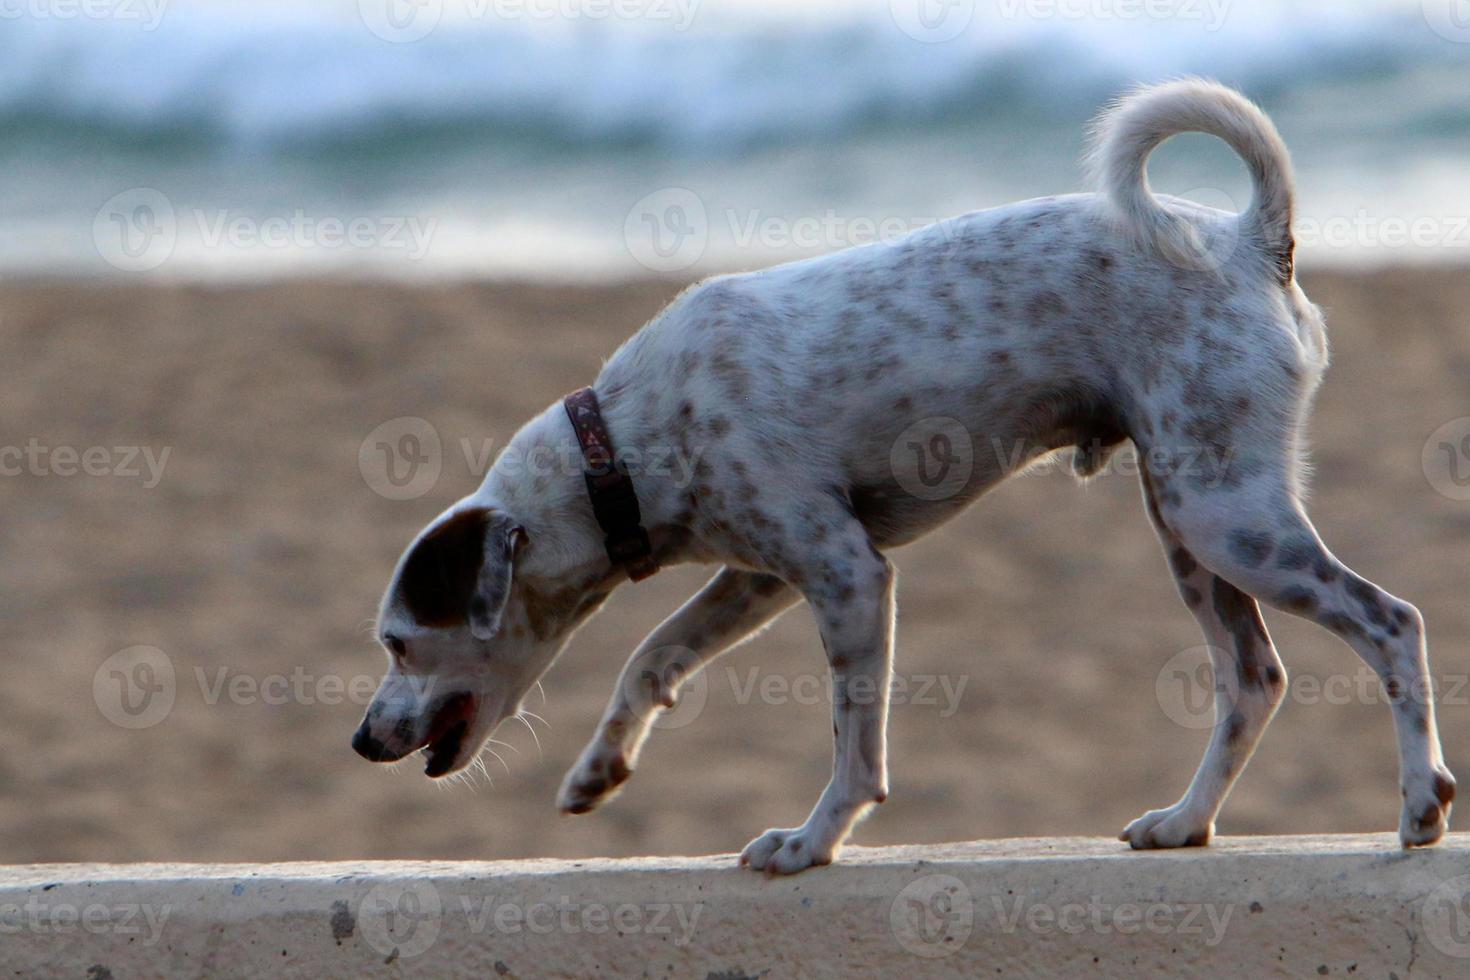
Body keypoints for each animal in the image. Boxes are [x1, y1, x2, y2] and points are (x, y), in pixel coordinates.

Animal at [349, 82, 1452, 875]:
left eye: (399, 642)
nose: (361, 741)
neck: (623, 437)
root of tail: (1251, 240)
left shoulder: (847, 574)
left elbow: (854, 748)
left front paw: (811, 841)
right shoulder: (759, 576)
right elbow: (651, 657)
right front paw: (599, 769)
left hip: (1223, 517)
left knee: (1392, 620)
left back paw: (1418, 802)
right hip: (1187, 522)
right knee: (1253, 678)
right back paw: (1186, 821)